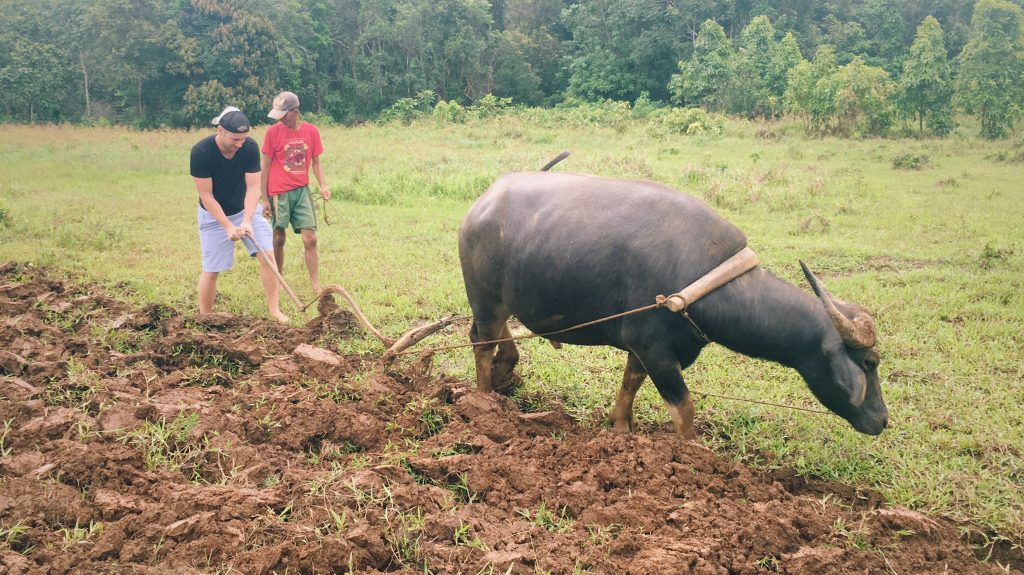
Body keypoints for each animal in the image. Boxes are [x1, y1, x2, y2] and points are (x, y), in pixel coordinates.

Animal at [456, 171, 888, 435]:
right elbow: (684, 409)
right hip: (485, 298)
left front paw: (620, 428)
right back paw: (484, 400)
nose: (882, 420)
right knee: (481, 342)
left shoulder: (644, 347)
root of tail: (482, 204)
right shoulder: (657, 351)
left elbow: (630, 383)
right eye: (869, 363)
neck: (703, 278)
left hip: (503, 301)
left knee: (498, 337)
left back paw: (504, 375)